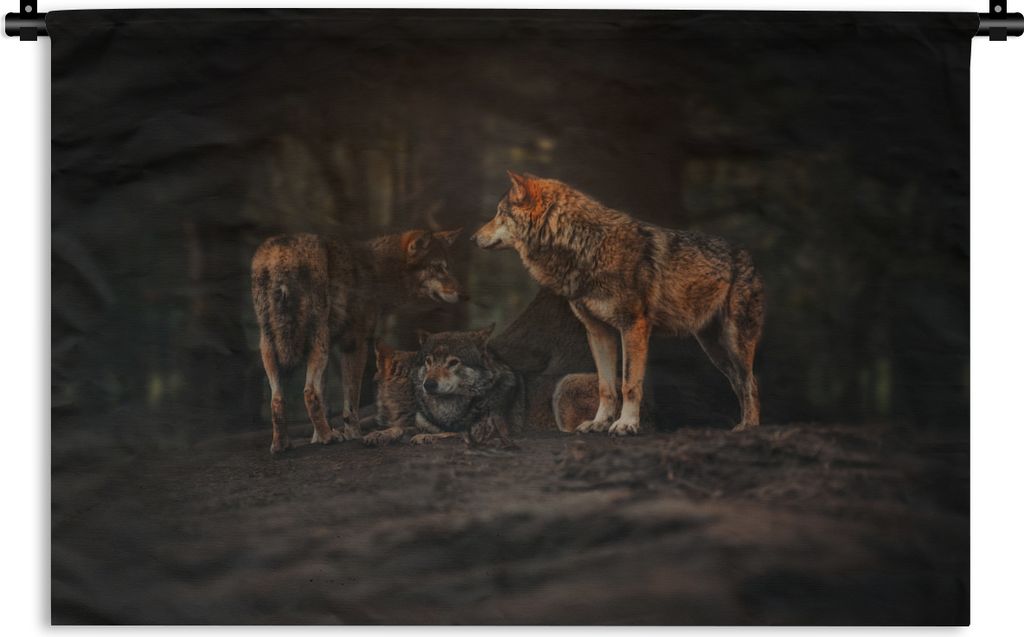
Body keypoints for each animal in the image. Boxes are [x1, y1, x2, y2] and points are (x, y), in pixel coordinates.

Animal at [251, 228, 462, 454]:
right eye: (438, 267)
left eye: (447, 267)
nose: (463, 295)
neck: (377, 270)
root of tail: (282, 253)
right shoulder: (355, 344)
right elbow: (350, 401)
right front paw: (351, 435)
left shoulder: (334, 348)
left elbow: (326, 399)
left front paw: (317, 437)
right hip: (316, 343)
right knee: (309, 392)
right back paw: (327, 438)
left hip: (271, 346)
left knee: (277, 399)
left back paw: (281, 444)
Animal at [472, 172, 764, 435]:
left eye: (500, 213)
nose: (472, 238)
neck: (586, 246)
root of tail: (747, 256)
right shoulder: (598, 332)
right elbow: (606, 386)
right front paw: (599, 423)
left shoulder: (633, 327)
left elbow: (629, 384)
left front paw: (626, 425)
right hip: (714, 349)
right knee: (741, 383)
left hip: (734, 343)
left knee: (750, 382)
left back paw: (749, 426)